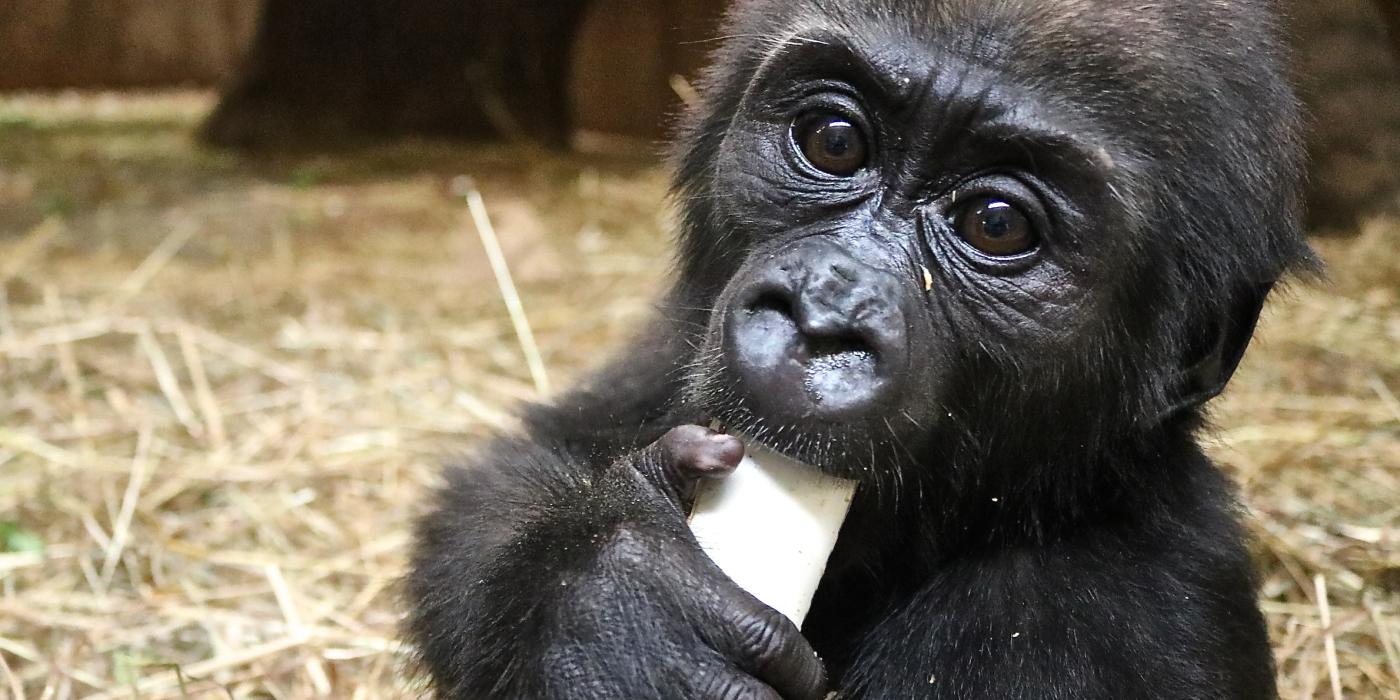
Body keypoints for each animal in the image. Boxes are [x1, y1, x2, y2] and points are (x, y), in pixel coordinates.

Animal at [406, 0, 1310, 697]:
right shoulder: (663, 359)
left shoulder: (1102, 620)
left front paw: (619, 618)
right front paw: (607, 604)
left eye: (997, 224)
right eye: (834, 140)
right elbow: (520, 467)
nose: (820, 318)